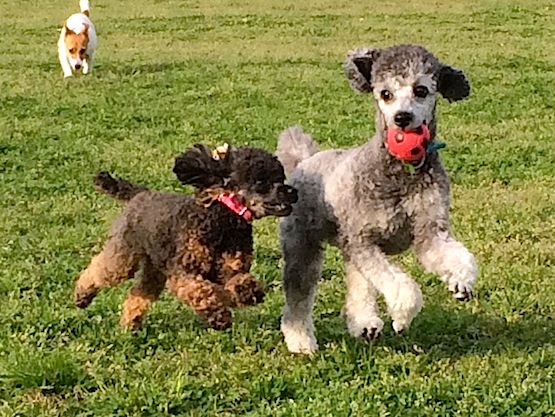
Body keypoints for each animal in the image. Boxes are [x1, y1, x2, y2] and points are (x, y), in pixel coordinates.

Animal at [73, 144, 298, 330]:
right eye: (261, 180)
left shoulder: (229, 270)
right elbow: (201, 290)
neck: (222, 221)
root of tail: (140, 193)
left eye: (280, 177)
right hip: (124, 254)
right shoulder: (183, 271)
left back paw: (130, 325)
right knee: (100, 269)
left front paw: (247, 292)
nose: (292, 191)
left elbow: (234, 283)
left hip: (155, 269)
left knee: (139, 294)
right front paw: (218, 316)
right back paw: (81, 296)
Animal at [276, 44, 478, 354]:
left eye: (421, 90)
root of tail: (304, 160)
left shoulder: (428, 231)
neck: (401, 173)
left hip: (347, 247)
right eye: (385, 94)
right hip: (303, 247)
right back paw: (301, 341)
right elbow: (400, 285)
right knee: (299, 297)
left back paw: (364, 323)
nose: (402, 118)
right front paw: (402, 316)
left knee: (358, 283)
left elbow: (451, 254)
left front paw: (460, 281)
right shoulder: (364, 240)